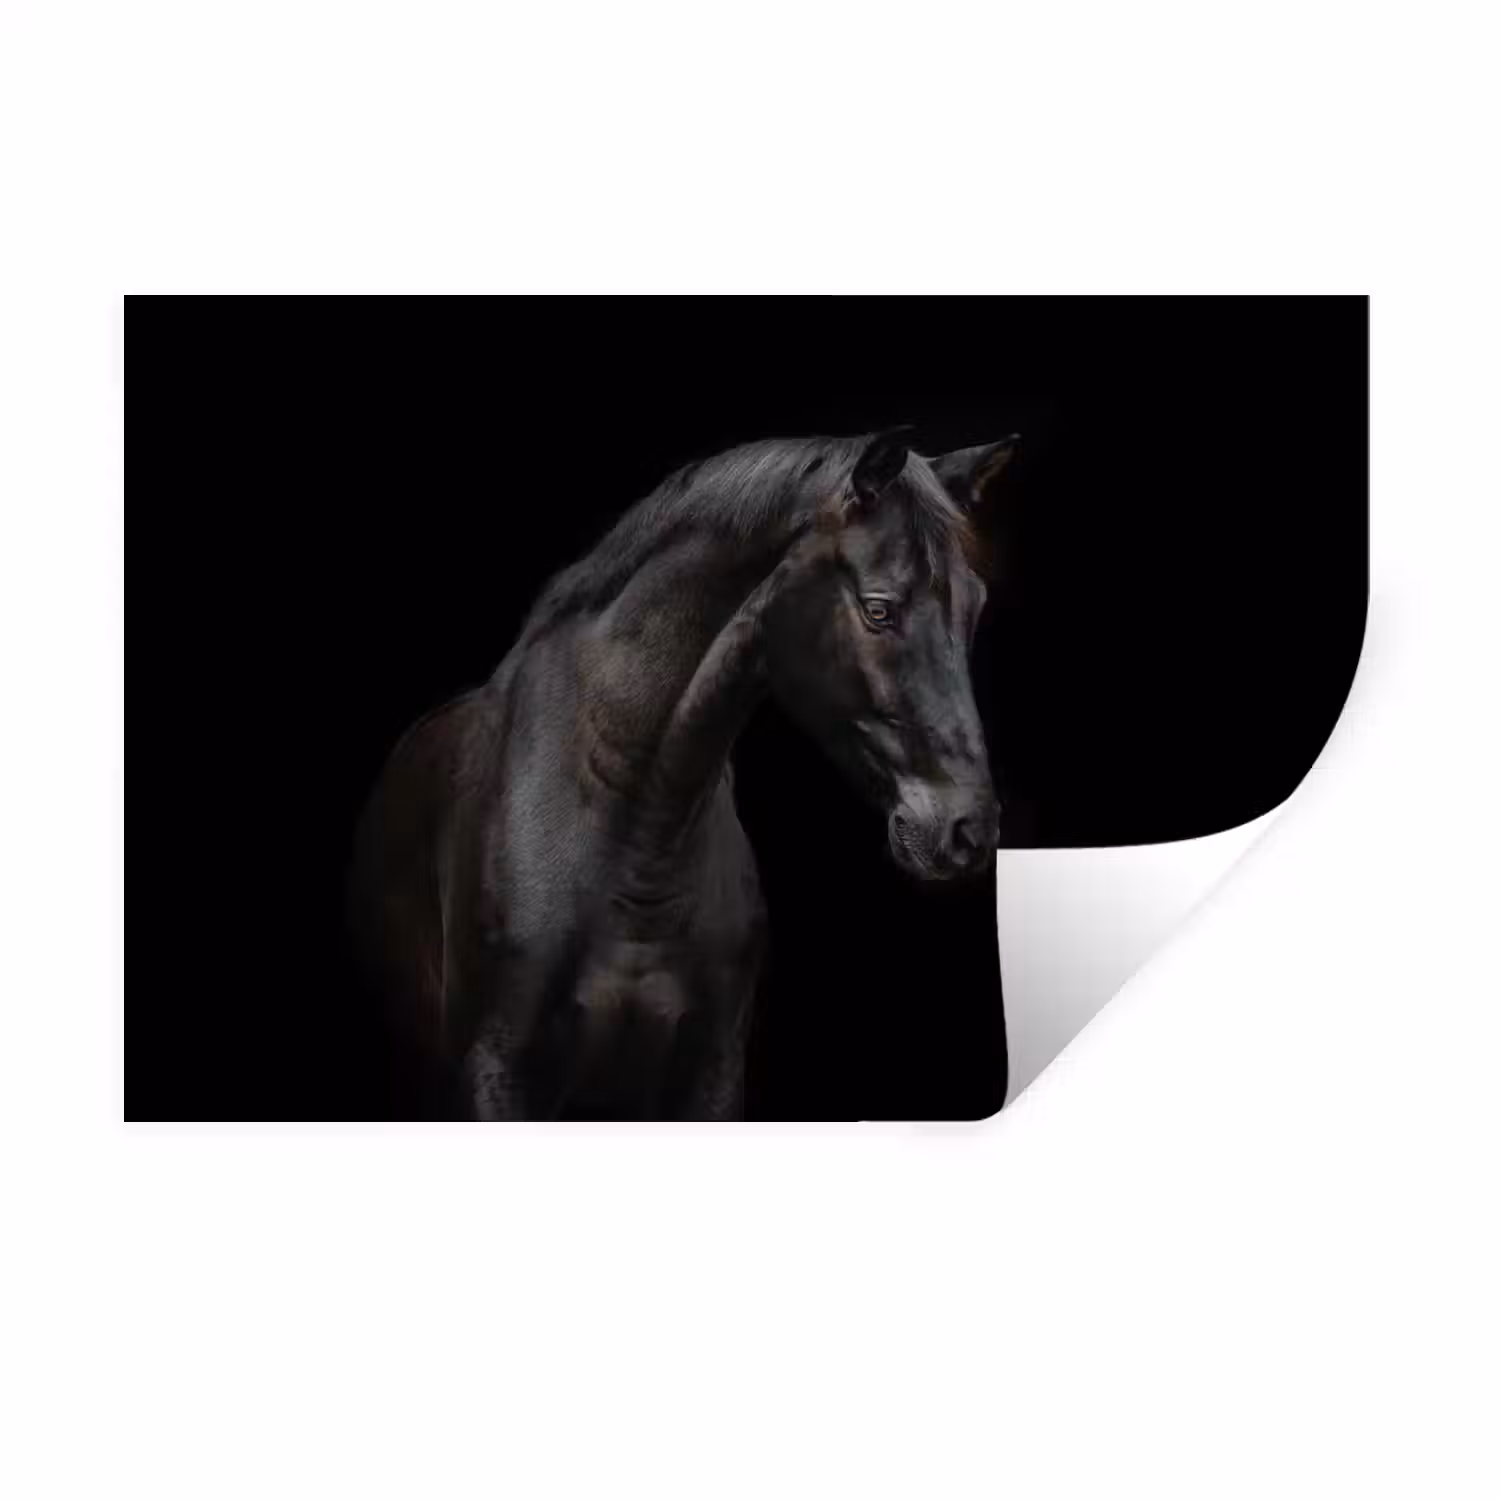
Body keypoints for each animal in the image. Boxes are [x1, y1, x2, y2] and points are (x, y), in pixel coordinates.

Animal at [348, 428, 1018, 1119]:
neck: (634, 835)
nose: (967, 830)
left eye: (975, 606)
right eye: (879, 609)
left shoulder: (712, 1071)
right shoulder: (496, 1072)